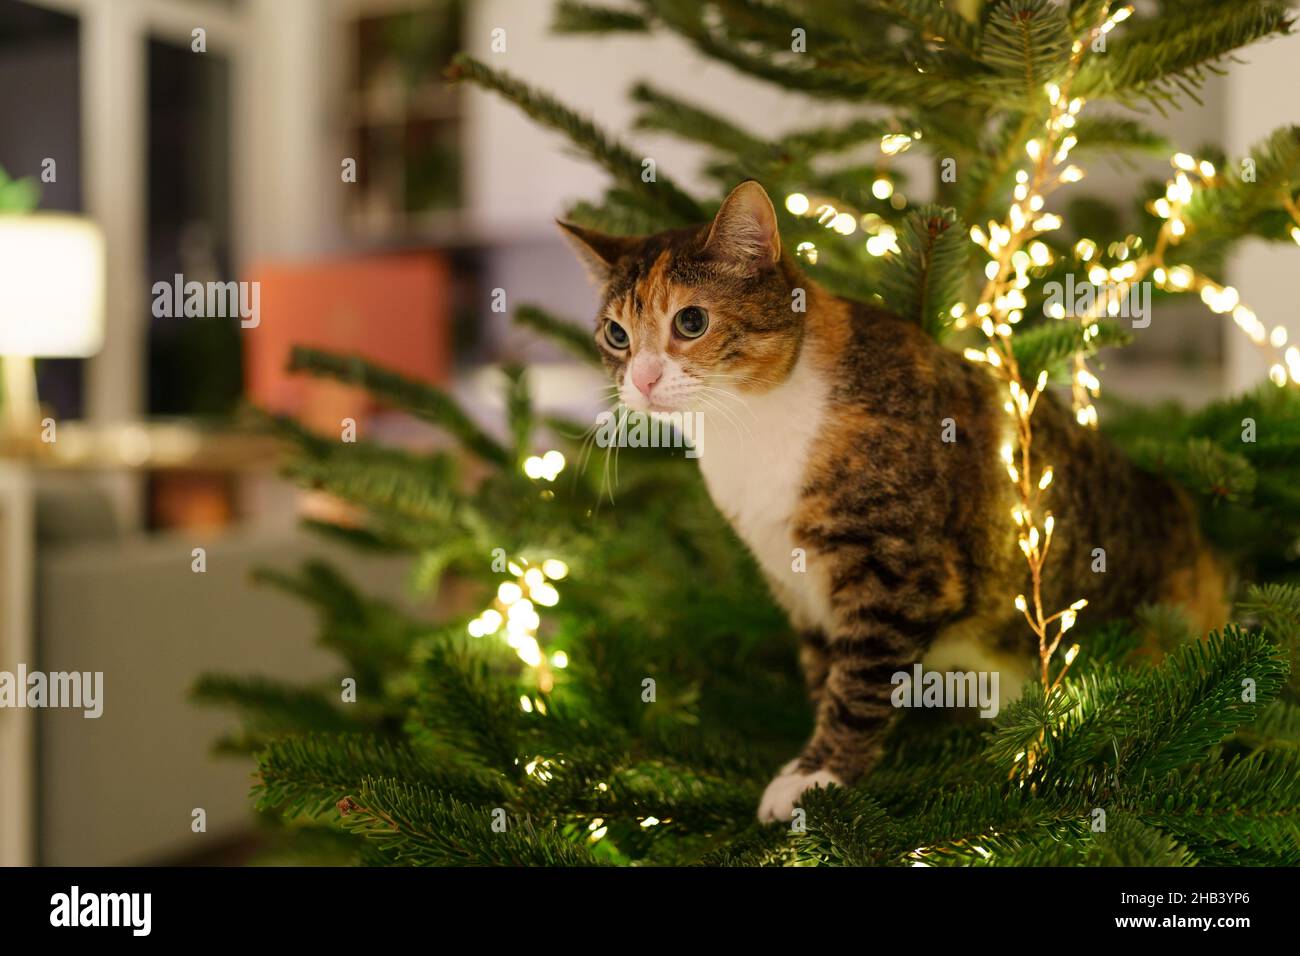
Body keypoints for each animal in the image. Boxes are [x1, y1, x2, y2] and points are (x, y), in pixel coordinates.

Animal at [561, 180, 1227, 822]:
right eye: (616, 335)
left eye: (692, 321)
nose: (642, 380)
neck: (749, 431)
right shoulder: (798, 587)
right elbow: (826, 672)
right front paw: (813, 761)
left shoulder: (899, 570)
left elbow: (860, 682)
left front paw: (817, 778)